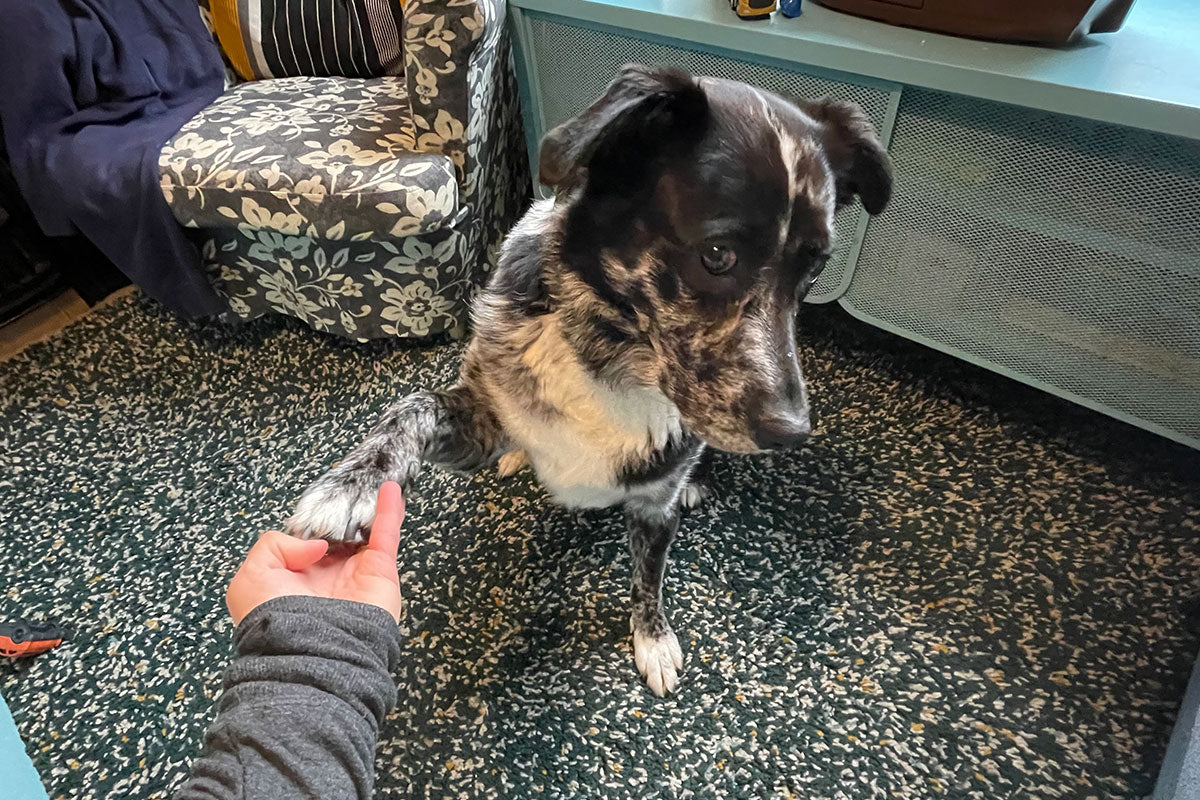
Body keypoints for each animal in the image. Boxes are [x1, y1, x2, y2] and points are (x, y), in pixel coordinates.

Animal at [283, 67, 892, 695]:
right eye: (717, 254)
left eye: (814, 271)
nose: (792, 433)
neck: (611, 359)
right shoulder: (476, 423)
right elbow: (411, 406)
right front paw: (349, 487)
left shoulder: (653, 504)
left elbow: (648, 581)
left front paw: (653, 640)